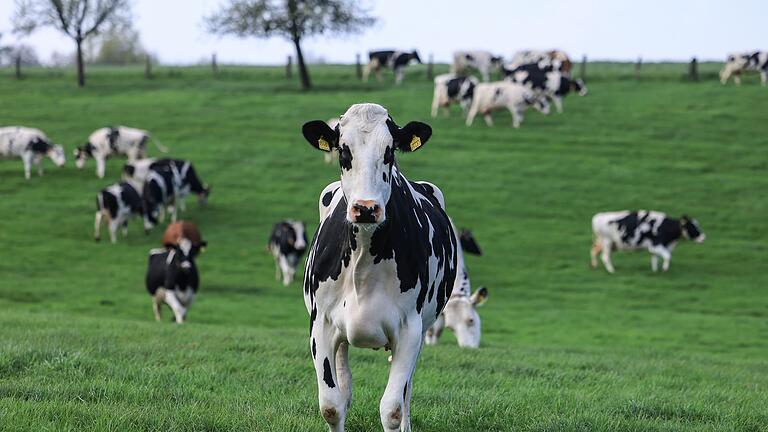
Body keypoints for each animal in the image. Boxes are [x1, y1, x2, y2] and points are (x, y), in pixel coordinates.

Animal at [300, 103, 456, 430]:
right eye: (343, 151)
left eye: (390, 151)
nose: (366, 208)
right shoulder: (320, 324)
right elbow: (331, 406)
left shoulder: (410, 329)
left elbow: (392, 408)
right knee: (344, 381)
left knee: (406, 390)